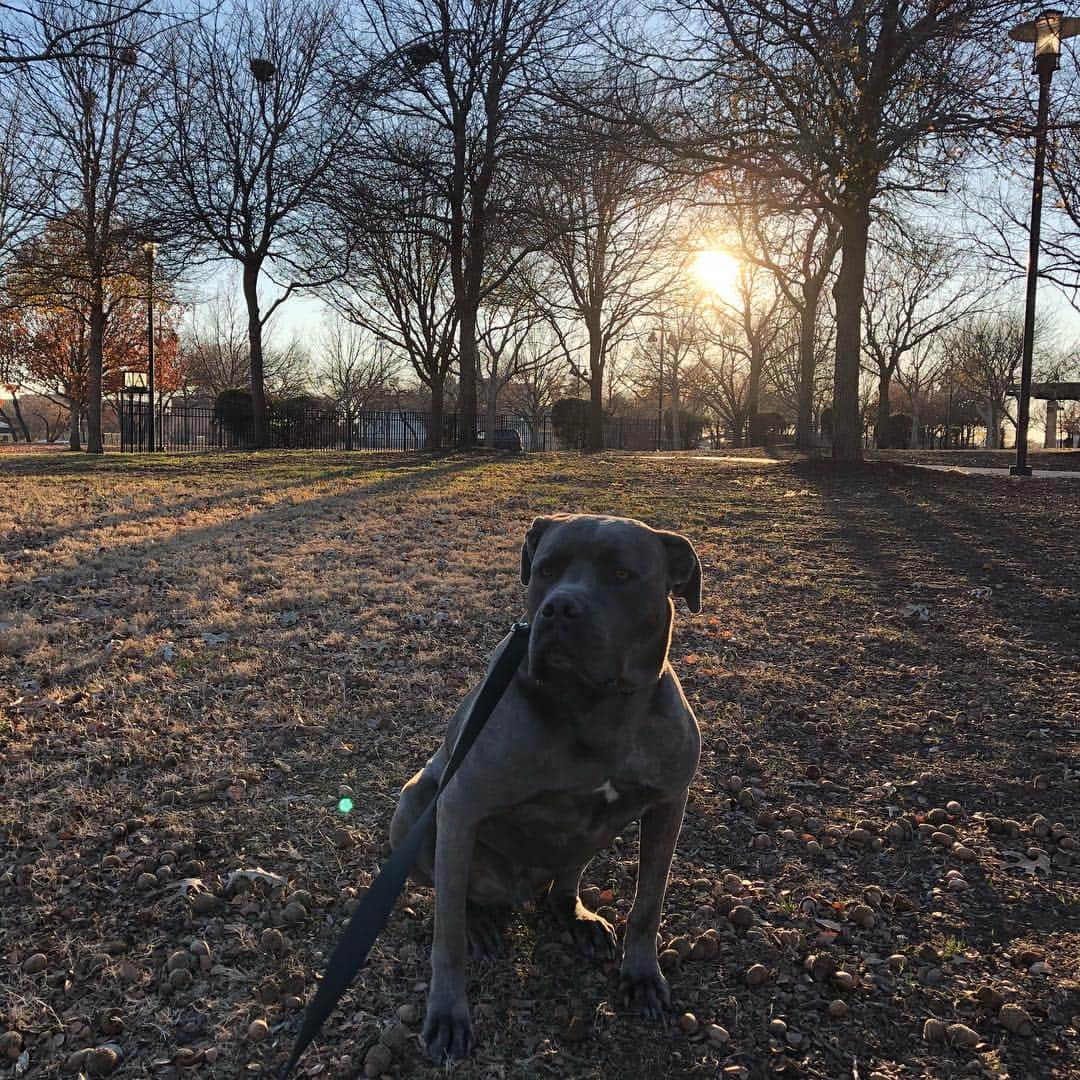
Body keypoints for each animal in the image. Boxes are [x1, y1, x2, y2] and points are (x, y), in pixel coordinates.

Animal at [388, 514, 699, 1062]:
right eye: (547, 570)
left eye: (621, 575)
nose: (560, 607)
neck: (593, 706)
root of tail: (517, 891)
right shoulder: (460, 805)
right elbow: (446, 936)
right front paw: (447, 1013)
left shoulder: (669, 803)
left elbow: (648, 904)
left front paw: (641, 976)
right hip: (415, 804)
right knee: (456, 891)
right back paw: (480, 922)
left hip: (585, 839)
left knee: (564, 880)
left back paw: (575, 916)